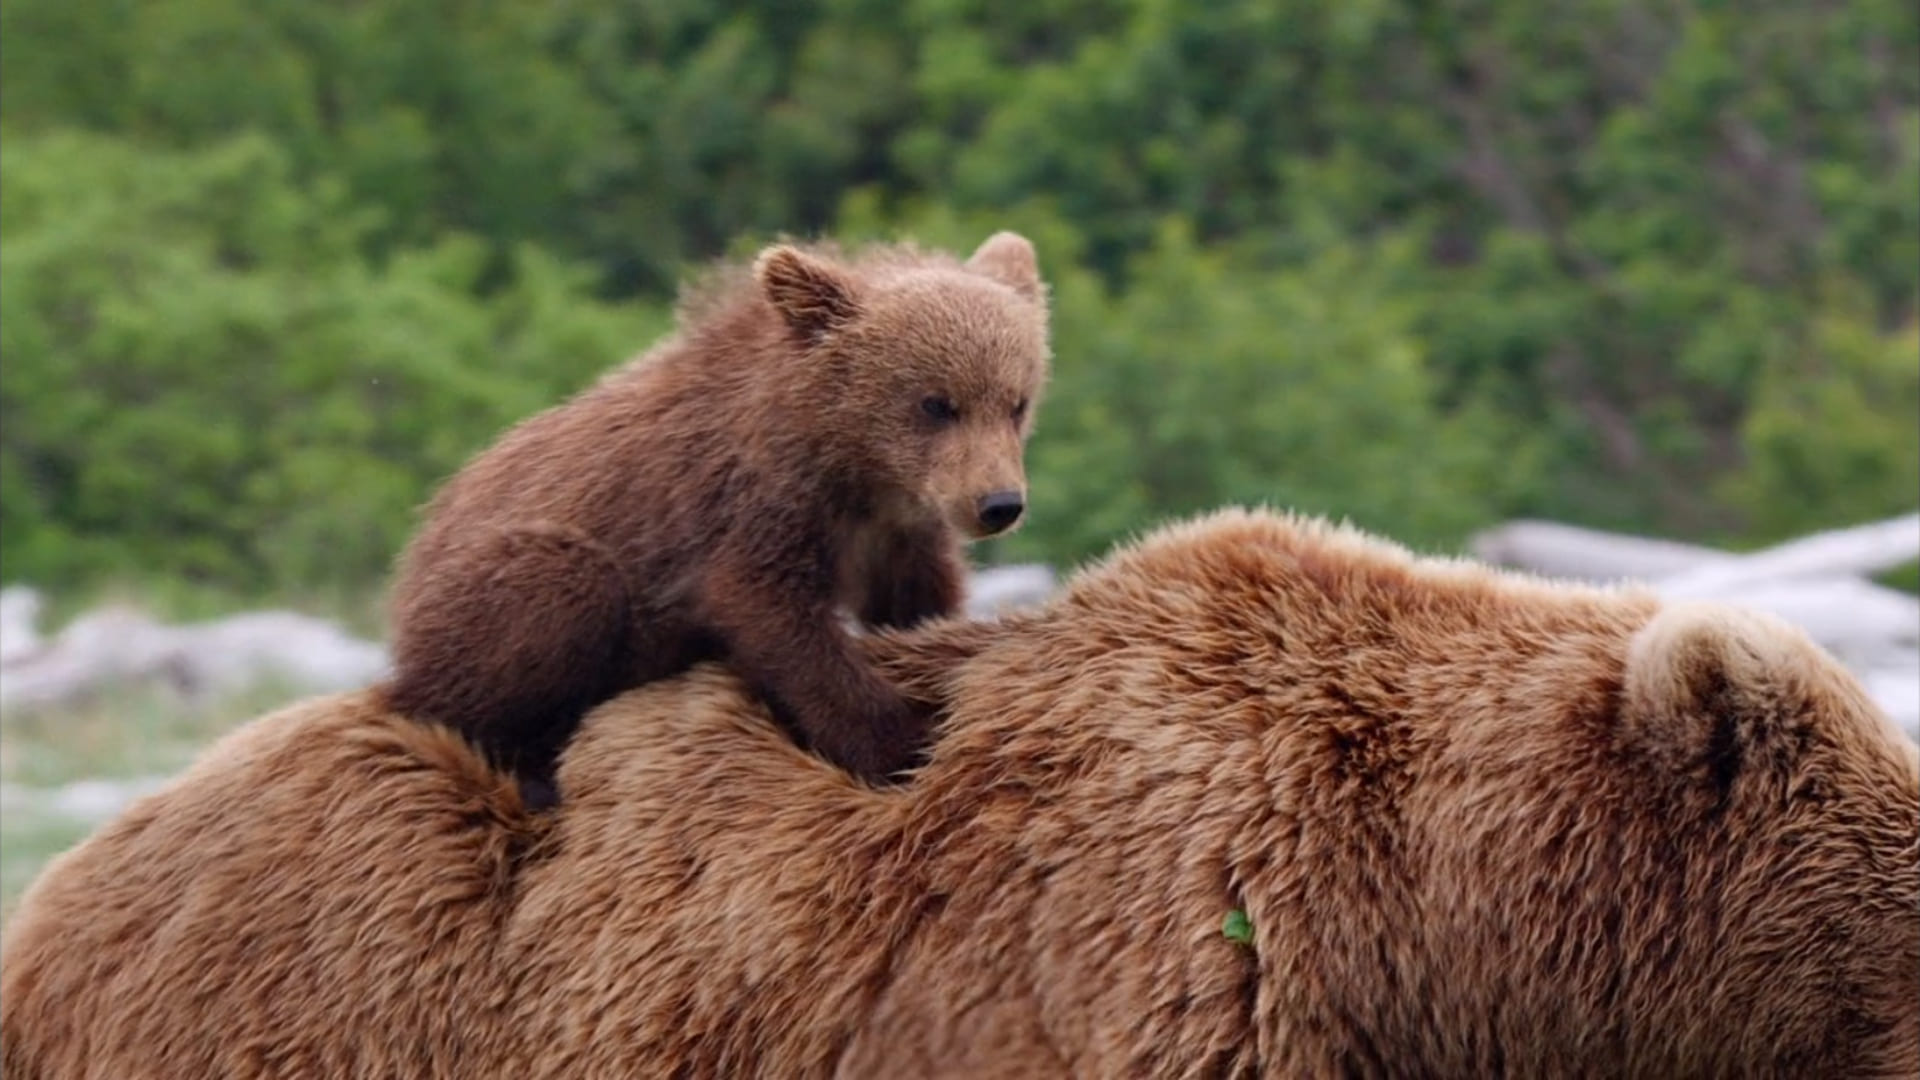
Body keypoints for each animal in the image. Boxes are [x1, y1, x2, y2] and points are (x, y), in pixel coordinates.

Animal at [380, 231, 1051, 804]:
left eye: (1015, 402)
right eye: (936, 403)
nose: (997, 503)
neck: (854, 473)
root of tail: (415, 551)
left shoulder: (897, 531)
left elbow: (917, 601)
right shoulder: (751, 507)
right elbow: (773, 617)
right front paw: (903, 739)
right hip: (485, 581)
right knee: (545, 594)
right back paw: (528, 768)